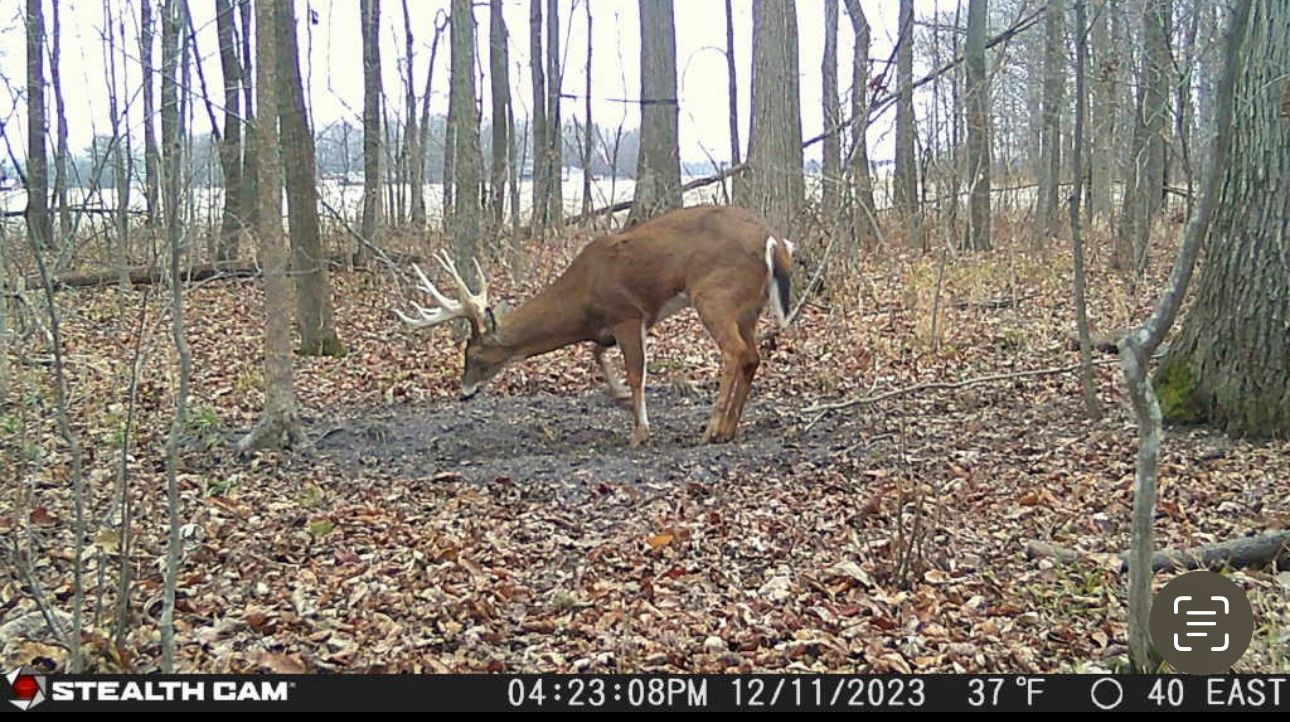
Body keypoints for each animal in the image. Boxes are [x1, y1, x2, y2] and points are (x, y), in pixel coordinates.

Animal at [395, 204, 794, 446]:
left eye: (475, 356)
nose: (464, 392)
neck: (582, 295)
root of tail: (774, 241)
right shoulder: (610, 326)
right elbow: (596, 354)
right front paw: (619, 399)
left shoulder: (628, 314)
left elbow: (636, 372)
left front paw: (640, 432)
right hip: (750, 306)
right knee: (752, 355)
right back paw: (728, 429)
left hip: (715, 295)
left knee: (735, 352)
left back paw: (712, 429)